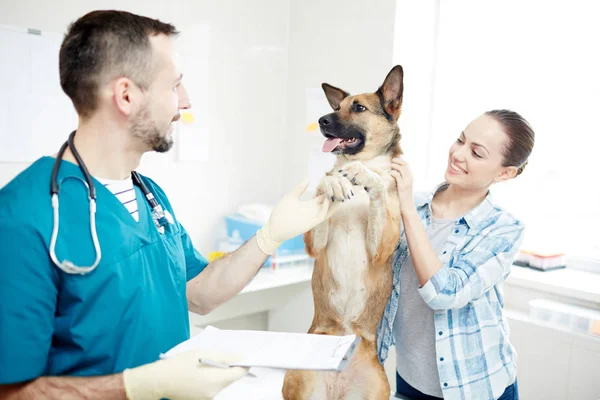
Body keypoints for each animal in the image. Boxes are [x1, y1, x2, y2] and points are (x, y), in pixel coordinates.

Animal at [284, 66, 406, 400]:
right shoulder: (315, 244)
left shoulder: (382, 248)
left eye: (359, 108)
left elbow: (378, 186)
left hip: (376, 388)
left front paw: (365, 176)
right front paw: (334, 181)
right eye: (337, 106)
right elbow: (325, 183)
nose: (322, 120)